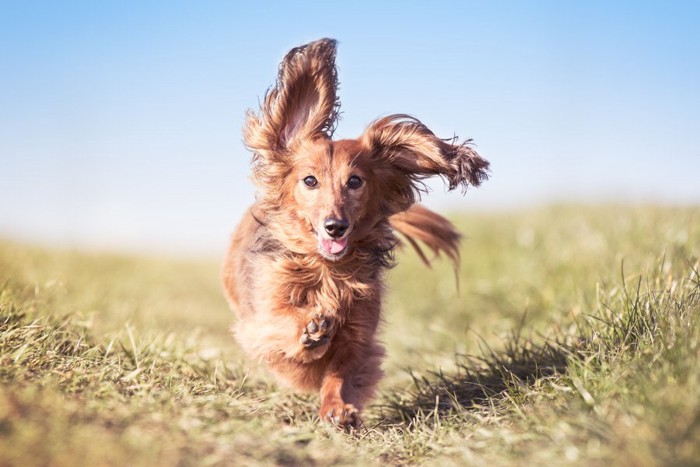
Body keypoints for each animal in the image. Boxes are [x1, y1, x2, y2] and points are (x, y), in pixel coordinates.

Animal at [221, 38, 490, 430]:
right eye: (310, 180)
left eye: (355, 181)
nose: (335, 226)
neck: (326, 271)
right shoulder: (262, 321)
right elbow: (283, 326)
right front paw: (311, 330)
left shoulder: (359, 334)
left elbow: (341, 372)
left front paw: (337, 407)